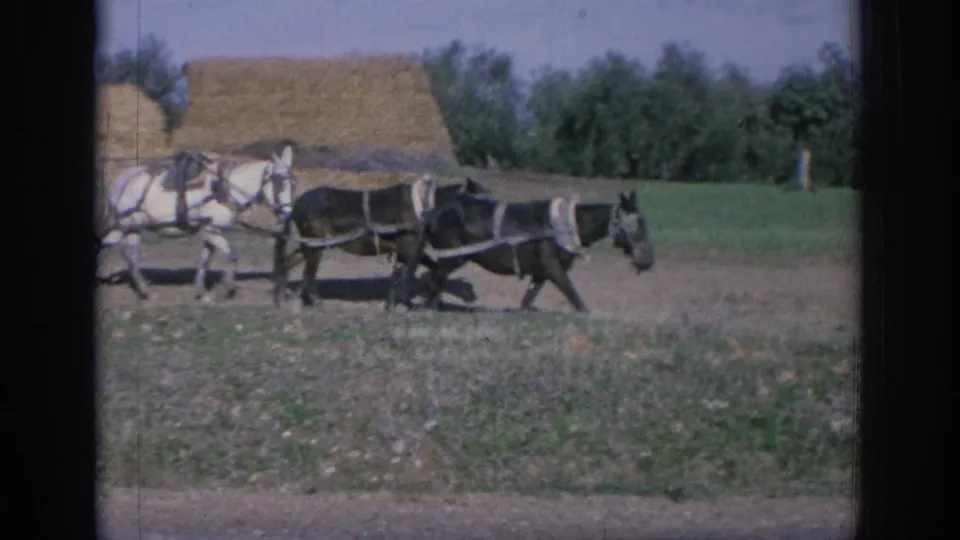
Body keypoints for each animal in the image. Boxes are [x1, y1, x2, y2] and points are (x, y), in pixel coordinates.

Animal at [98, 144, 298, 301]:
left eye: (293, 184)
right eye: (280, 183)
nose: (288, 214)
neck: (224, 189)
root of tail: (121, 181)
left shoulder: (209, 230)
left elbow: (205, 260)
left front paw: (200, 291)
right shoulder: (213, 229)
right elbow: (232, 256)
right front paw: (227, 290)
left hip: (131, 227)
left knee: (128, 255)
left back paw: (144, 289)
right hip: (124, 224)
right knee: (115, 249)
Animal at [272, 176, 493, 311]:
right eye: (482, 203)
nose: (472, 296)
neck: (424, 206)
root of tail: (296, 205)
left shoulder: (406, 251)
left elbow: (407, 273)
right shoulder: (408, 248)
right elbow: (407, 274)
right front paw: (401, 303)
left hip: (309, 245)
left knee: (288, 263)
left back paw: (283, 297)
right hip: (317, 245)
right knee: (308, 272)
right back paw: (314, 301)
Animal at [394, 189, 654, 313]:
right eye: (640, 223)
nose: (649, 261)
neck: (566, 224)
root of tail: (434, 212)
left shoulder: (540, 273)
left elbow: (527, 301)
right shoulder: (553, 268)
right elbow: (574, 296)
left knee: (431, 278)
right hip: (454, 256)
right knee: (432, 279)